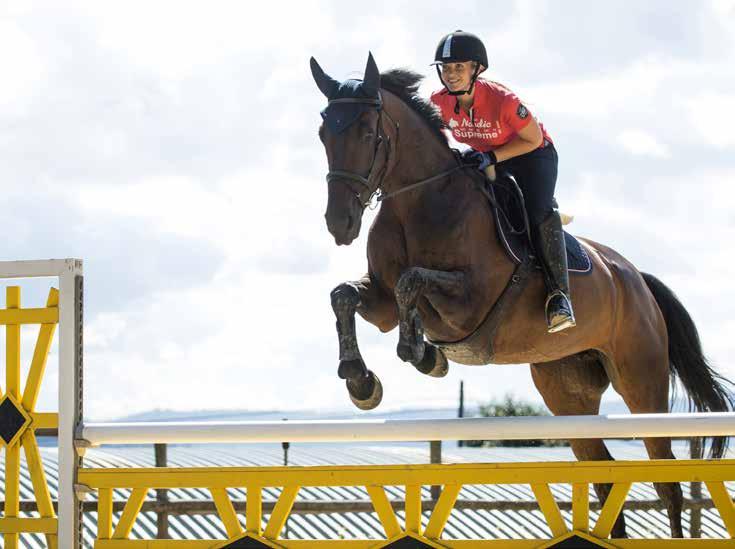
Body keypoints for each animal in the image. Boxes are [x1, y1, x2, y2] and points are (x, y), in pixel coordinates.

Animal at [310, 53, 735, 536]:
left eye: (368, 132)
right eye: (324, 133)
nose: (339, 224)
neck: (417, 201)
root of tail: (637, 280)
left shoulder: (472, 302)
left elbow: (412, 282)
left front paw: (421, 353)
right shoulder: (380, 300)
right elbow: (345, 295)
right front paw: (361, 380)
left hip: (641, 382)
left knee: (667, 481)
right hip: (567, 392)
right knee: (606, 479)